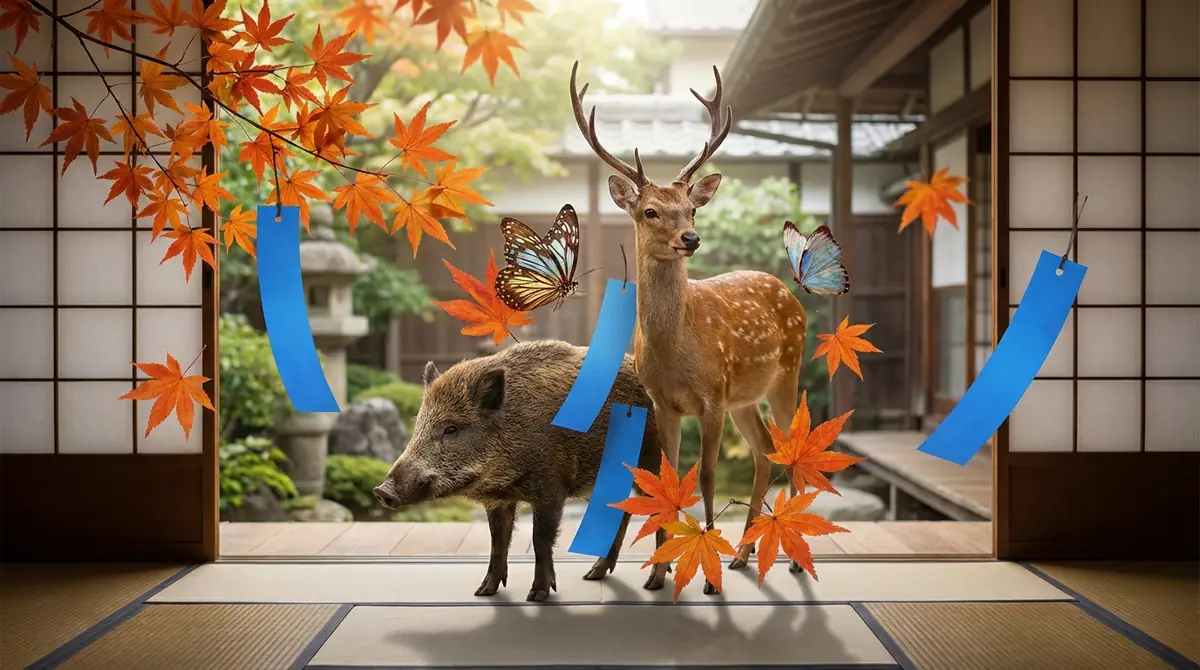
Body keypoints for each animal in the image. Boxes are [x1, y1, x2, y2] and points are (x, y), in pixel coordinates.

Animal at [568, 62, 809, 594]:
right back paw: (743, 555)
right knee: (763, 451)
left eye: (693, 208)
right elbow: (668, 476)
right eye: (649, 211)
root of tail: (789, 293)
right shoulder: (664, 403)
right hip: (745, 398)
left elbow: (707, 478)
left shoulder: (712, 396)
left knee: (790, 448)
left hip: (785, 374)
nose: (691, 238)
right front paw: (659, 573)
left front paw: (706, 578)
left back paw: (793, 560)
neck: (676, 352)